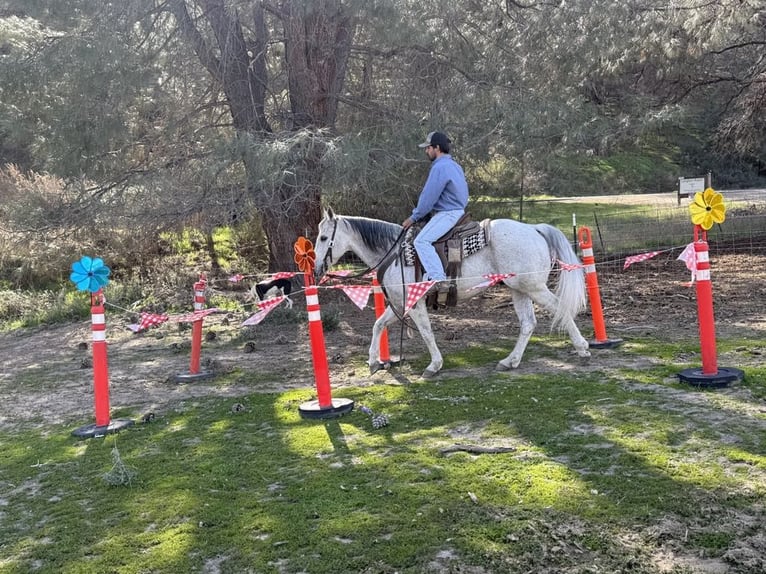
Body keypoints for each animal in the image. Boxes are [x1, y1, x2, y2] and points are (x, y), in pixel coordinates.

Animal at [316, 207, 592, 378]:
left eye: (322, 238)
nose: (316, 267)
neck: (393, 253)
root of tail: (534, 229)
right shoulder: (401, 304)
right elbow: (378, 325)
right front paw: (374, 361)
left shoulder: (415, 305)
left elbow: (426, 332)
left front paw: (434, 365)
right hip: (519, 290)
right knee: (527, 324)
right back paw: (509, 361)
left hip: (533, 288)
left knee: (560, 309)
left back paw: (582, 349)